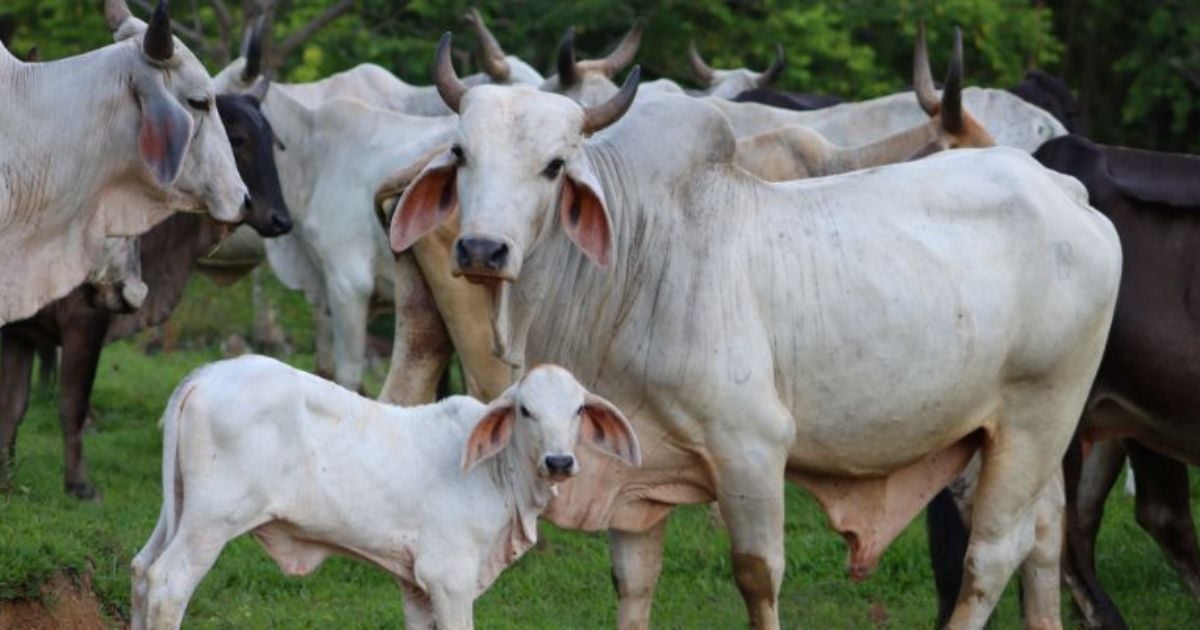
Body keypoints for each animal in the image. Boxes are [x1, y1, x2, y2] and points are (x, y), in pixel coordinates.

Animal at [0, 90, 291, 500]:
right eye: (237, 139)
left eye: (274, 142)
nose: (281, 219)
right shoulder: (84, 322)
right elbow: (71, 404)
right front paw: (79, 484)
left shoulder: (22, 333)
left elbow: (13, 405)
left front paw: (6, 478)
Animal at [129, 358, 641, 630]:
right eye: (525, 410)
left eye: (578, 410)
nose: (559, 462)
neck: (500, 475)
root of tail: (206, 374)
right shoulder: (449, 576)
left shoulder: (415, 584)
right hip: (212, 522)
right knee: (168, 581)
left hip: (178, 509)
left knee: (140, 570)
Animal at [385, 35, 1121, 629]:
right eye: (460, 152)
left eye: (555, 165)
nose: (482, 250)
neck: (634, 262)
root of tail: (1065, 190)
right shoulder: (630, 472)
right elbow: (632, 582)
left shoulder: (752, 448)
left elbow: (758, 577)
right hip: (1026, 436)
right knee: (1046, 538)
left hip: (1037, 418)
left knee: (992, 556)